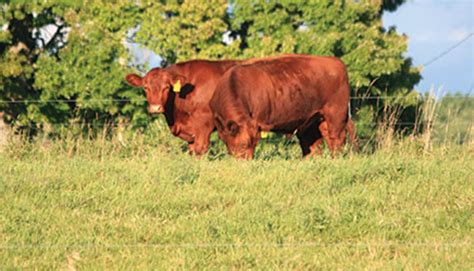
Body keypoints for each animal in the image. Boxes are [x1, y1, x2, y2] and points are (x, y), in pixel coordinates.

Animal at [210, 54, 352, 159]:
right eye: (243, 145)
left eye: (254, 143)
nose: (246, 161)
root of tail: (335, 61)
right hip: (314, 120)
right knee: (315, 143)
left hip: (336, 115)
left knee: (336, 138)